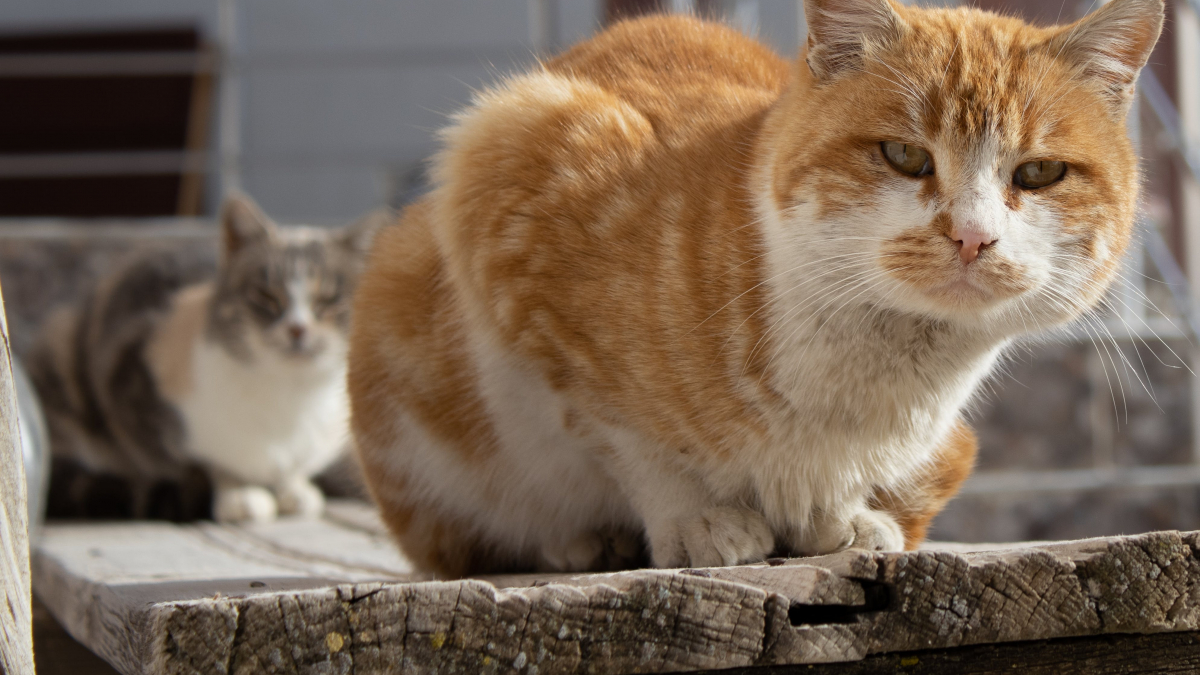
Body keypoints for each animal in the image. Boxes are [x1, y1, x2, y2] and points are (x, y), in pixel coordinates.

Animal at [31, 193, 384, 521]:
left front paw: (293, 489)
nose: (297, 329)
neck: (292, 398)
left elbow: (294, 468)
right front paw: (238, 494)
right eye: (265, 296)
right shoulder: (130, 381)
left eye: (331, 300)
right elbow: (211, 463)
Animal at [348, 0, 1161, 576]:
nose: (971, 236)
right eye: (903, 155)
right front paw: (695, 518)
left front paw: (842, 517)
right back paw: (586, 540)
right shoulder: (514, 171)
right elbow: (630, 440)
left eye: (1039, 172)